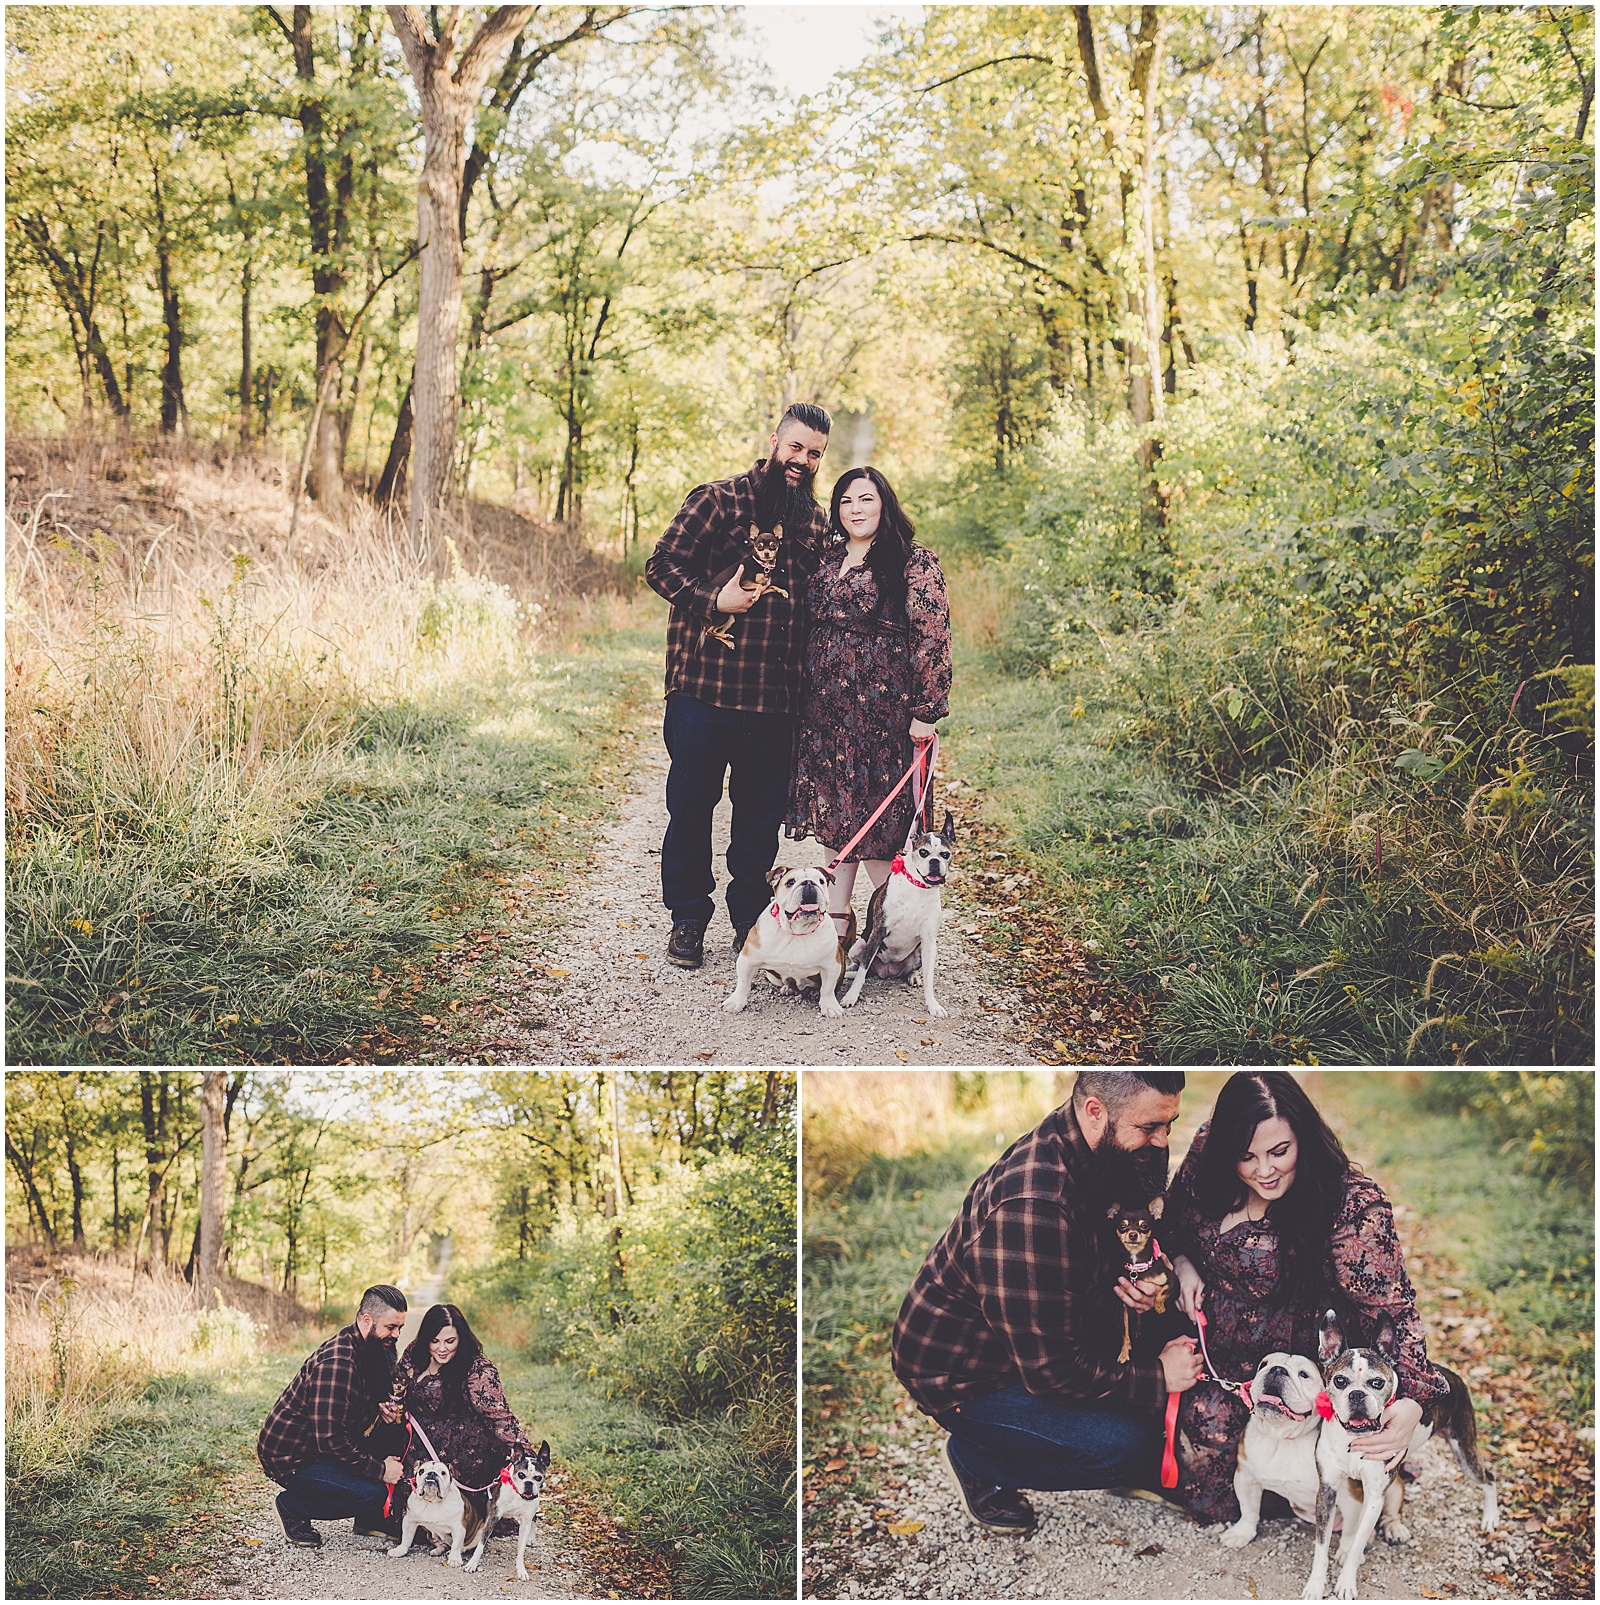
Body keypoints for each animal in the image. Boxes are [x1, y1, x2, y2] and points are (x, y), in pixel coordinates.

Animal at [725, 866, 853, 1014]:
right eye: (790, 882)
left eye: (821, 881)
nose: (809, 883)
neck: (796, 932)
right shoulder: (748, 960)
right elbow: (743, 984)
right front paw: (736, 1002)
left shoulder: (831, 966)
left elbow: (828, 988)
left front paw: (830, 1006)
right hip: (772, 976)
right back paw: (788, 988)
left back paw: (814, 992)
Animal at [1296, 1309, 1495, 1598]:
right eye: (1340, 1381)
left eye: (1377, 1382)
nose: (1357, 1395)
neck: (1354, 1437)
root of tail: (1453, 1377)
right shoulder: (1327, 1491)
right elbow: (1321, 1547)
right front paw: (1315, 1585)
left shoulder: (1374, 1496)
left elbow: (1357, 1544)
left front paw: (1346, 1582)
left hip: (1464, 1453)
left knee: (1489, 1478)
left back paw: (1490, 1518)